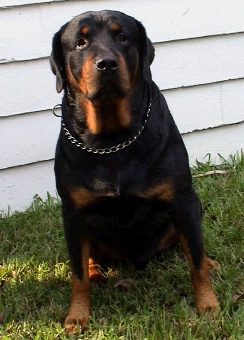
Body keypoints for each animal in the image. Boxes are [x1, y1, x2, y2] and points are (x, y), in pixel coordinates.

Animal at [50, 9, 219, 334]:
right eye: (80, 43)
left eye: (122, 37)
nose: (106, 63)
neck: (112, 140)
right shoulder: (73, 213)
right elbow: (77, 271)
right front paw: (77, 315)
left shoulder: (183, 201)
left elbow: (195, 259)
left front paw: (208, 305)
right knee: (86, 258)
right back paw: (95, 273)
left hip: (194, 208)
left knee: (192, 246)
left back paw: (211, 262)